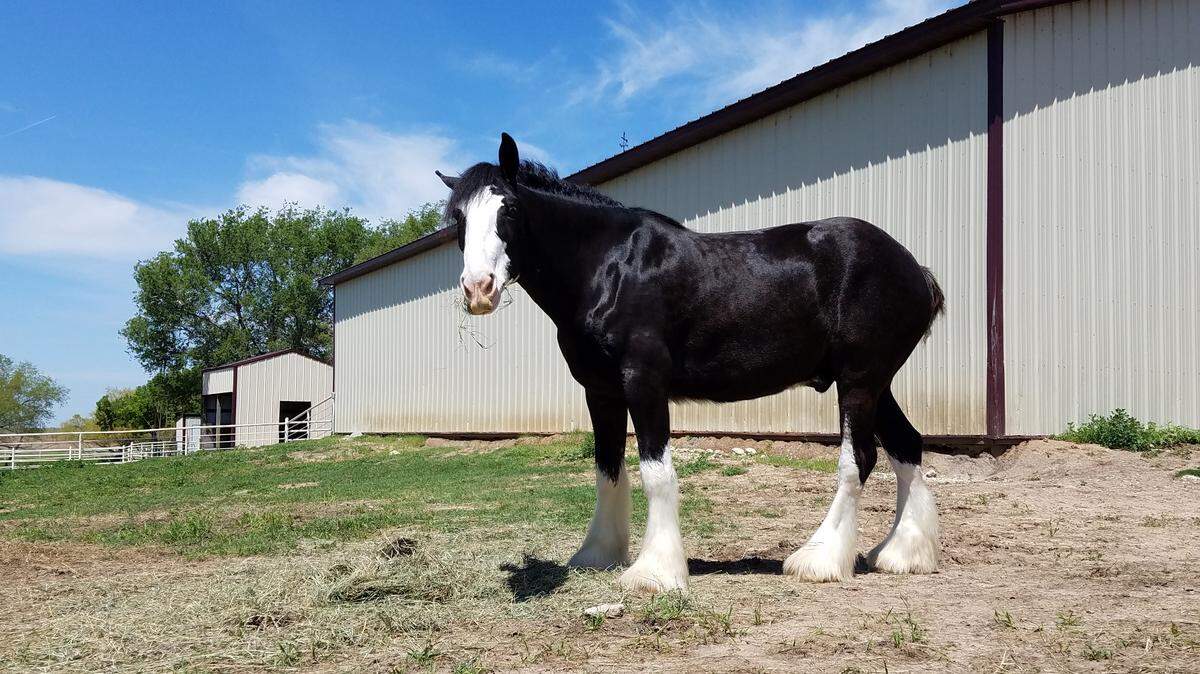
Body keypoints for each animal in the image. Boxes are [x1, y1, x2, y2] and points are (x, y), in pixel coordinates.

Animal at [437, 133, 944, 593]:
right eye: (458, 218)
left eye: (509, 209)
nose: (478, 289)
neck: (608, 268)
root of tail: (915, 270)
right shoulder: (600, 390)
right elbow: (607, 468)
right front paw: (598, 553)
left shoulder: (643, 382)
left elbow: (656, 473)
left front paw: (655, 573)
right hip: (875, 383)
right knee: (906, 445)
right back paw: (902, 555)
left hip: (859, 380)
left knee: (859, 458)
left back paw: (819, 560)